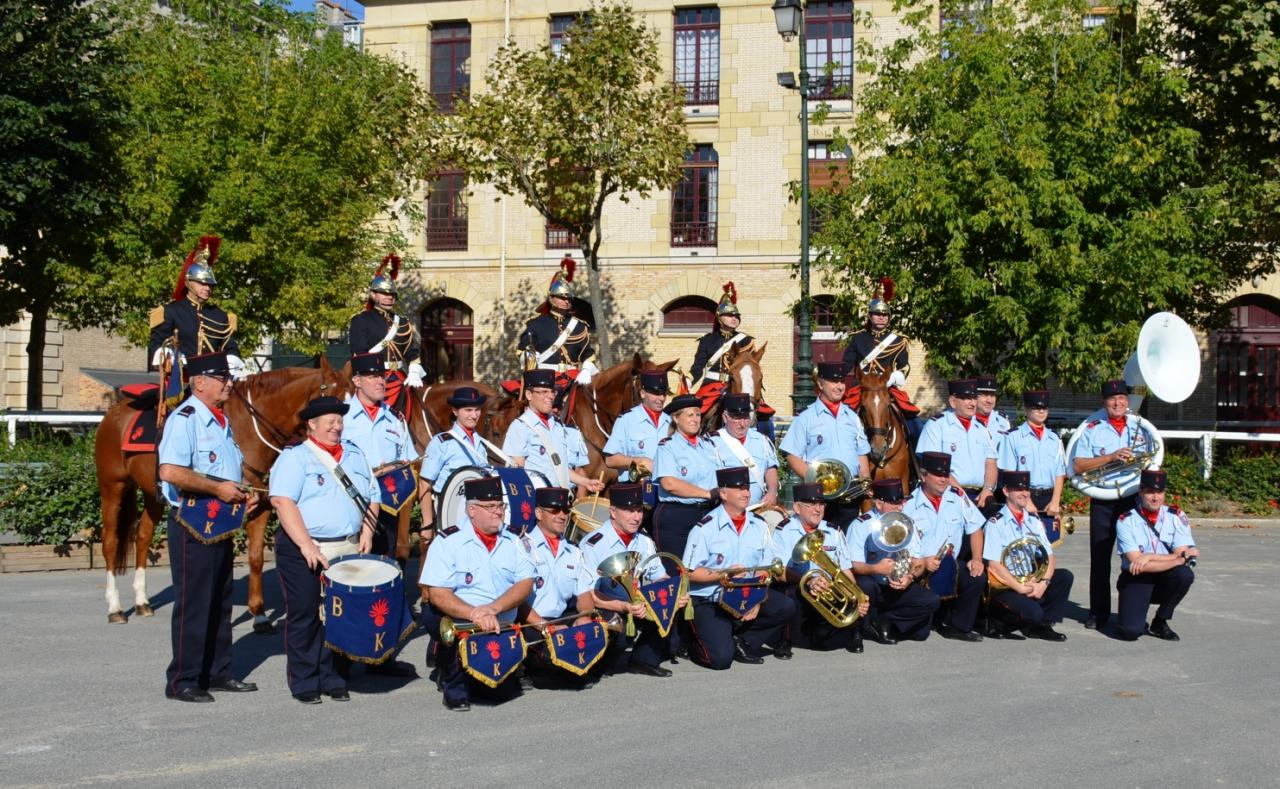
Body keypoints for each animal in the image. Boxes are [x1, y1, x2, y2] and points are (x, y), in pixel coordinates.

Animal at [93, 358, 350, 627]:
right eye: (334, 399)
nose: (341, 439)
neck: (251, 429)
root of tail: (115, 411)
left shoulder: (263, 505)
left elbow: (256, 557)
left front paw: (259, 614)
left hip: (153, 493)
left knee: (142, 537)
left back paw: (142, 601)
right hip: (112, 486)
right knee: (110, 541)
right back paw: (115, 607)